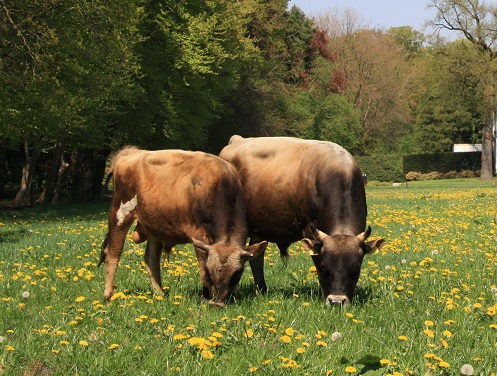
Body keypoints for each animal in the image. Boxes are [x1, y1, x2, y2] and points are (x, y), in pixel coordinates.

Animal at [98, 145, 266, 306]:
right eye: (210, 271)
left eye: (237, 274)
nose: (217, 303)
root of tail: (132, 152)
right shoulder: (199, 235)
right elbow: (201, 267)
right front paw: (204, 298)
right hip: (120, 213)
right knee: (113, 252)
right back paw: (108, 294)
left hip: (154, 224)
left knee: (151, 259)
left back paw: (160, 294)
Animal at [219, 135, 386, 306]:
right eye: (325, 268)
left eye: (356, 269)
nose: (336, 301)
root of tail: (237, 139)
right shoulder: (311, 233)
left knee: (256, 257)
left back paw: (262, 290)